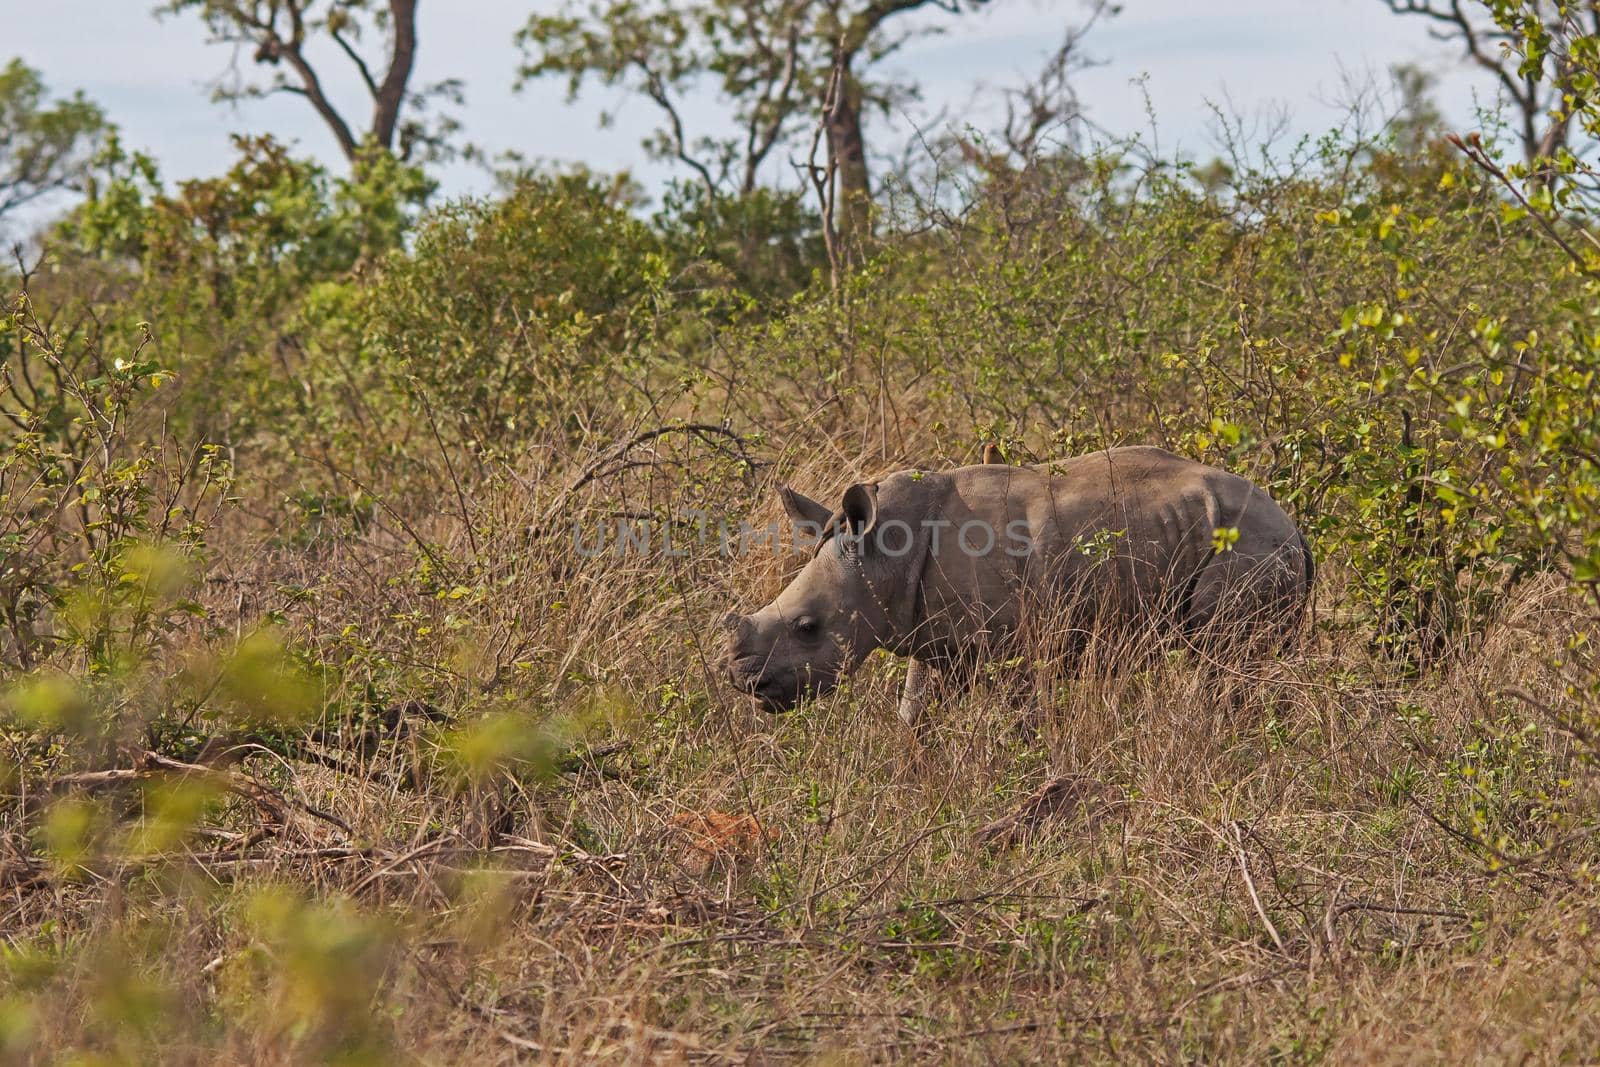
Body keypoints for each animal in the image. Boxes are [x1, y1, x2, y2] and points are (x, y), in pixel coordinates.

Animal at [723, 447, 1312, 729]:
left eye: (808, 627)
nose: (743, 684)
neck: (884, 554)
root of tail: (1297, 530)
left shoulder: (1015, 645)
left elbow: (1019, 720)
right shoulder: (930, 633)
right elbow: (913, 713)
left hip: (1249, 547)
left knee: (1222, 659)